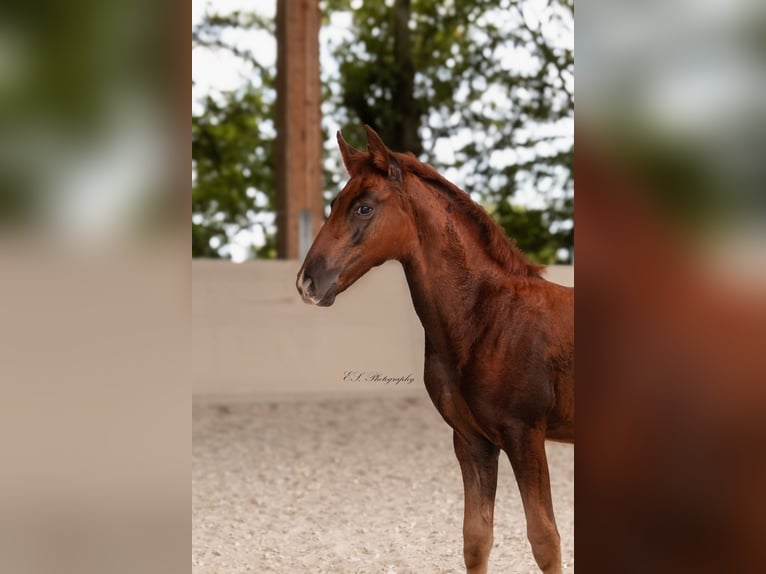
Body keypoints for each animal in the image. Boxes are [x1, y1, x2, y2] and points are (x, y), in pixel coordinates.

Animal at [296, 127, 572, 574]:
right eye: (336, 203)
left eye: (364, 208)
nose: (307, 282)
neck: (489, 318)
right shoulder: (472, 441)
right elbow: (476, 539)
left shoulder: (525, 435)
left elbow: (545, 540)